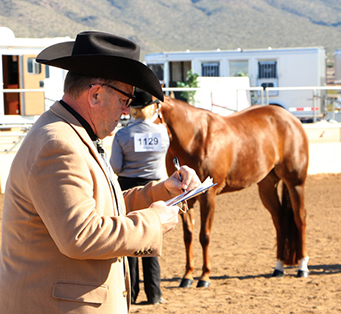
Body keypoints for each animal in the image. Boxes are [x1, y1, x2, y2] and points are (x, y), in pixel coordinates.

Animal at [155, 95, 310, 288]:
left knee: (299, 218)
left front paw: (205, 276)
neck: (193, 138)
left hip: (295, 183)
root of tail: (291, 118)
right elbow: (188, 236)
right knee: (279, 220)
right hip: (267, 186)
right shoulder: (186, 198)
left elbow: (204, 235)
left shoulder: (208, 196)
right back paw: (279, 267)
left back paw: (303, 267)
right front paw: (188, 276)